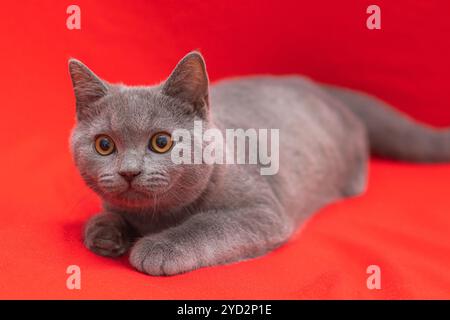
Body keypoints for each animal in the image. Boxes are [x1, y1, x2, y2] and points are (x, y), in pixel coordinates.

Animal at [67, 51, 450, 276]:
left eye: (162, 142)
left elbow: (210, 224)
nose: (129, 171)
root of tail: (316, 86)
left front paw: (158, 248)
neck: (156, 217)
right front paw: (104, 232)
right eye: (104, 145)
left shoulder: (264, 212)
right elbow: (108, 213)